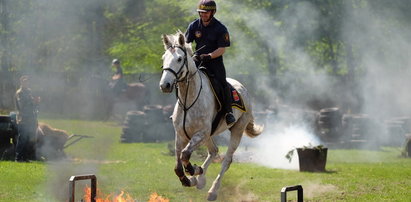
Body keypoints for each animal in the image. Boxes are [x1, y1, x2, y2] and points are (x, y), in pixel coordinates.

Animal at [159, 31, 264, 200]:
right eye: (163, 58)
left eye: (179, 59)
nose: (165, 85)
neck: (189, 100)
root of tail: (244, 90)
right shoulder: (181, 135)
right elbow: (178, 165)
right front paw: (191, 178)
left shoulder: (200, 133)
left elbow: (185, 155)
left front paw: (193, 171)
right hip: (209, 135)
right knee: (213, 151)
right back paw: (200, 180)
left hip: (236, 130)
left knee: (226, 160)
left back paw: (212, 190)